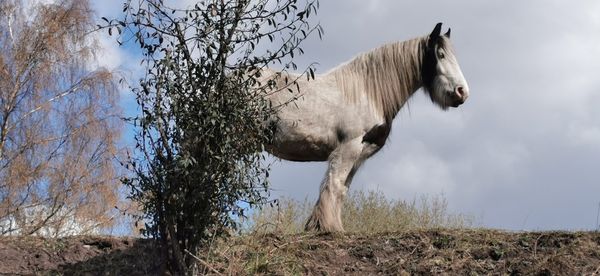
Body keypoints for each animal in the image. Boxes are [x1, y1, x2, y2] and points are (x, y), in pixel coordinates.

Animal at [264, 22, 472, 232]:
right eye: (440, 54)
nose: (462, 92)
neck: (367, 92)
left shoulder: (359, 154)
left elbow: (342, 189)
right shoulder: (349, 147)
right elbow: (335, 184)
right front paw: (329, 227)